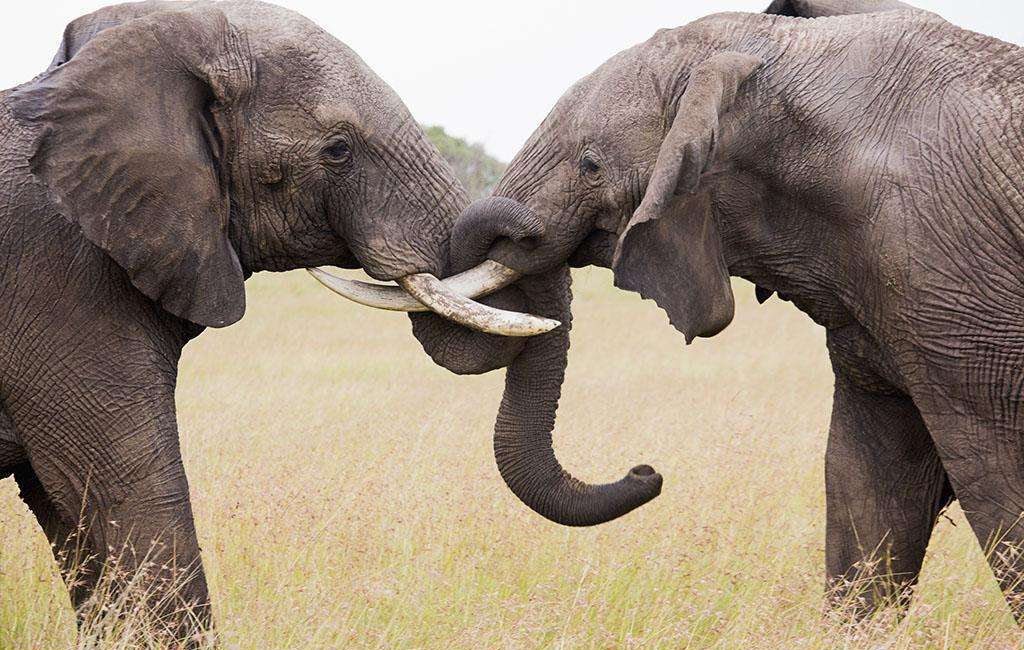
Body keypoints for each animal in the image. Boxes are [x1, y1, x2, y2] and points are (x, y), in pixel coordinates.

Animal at [403, 0, 1024, 619]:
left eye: (590, 165)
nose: (647, 471)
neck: (765, 55)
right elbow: (867, 487)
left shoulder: (950, 262)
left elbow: (996, 479)